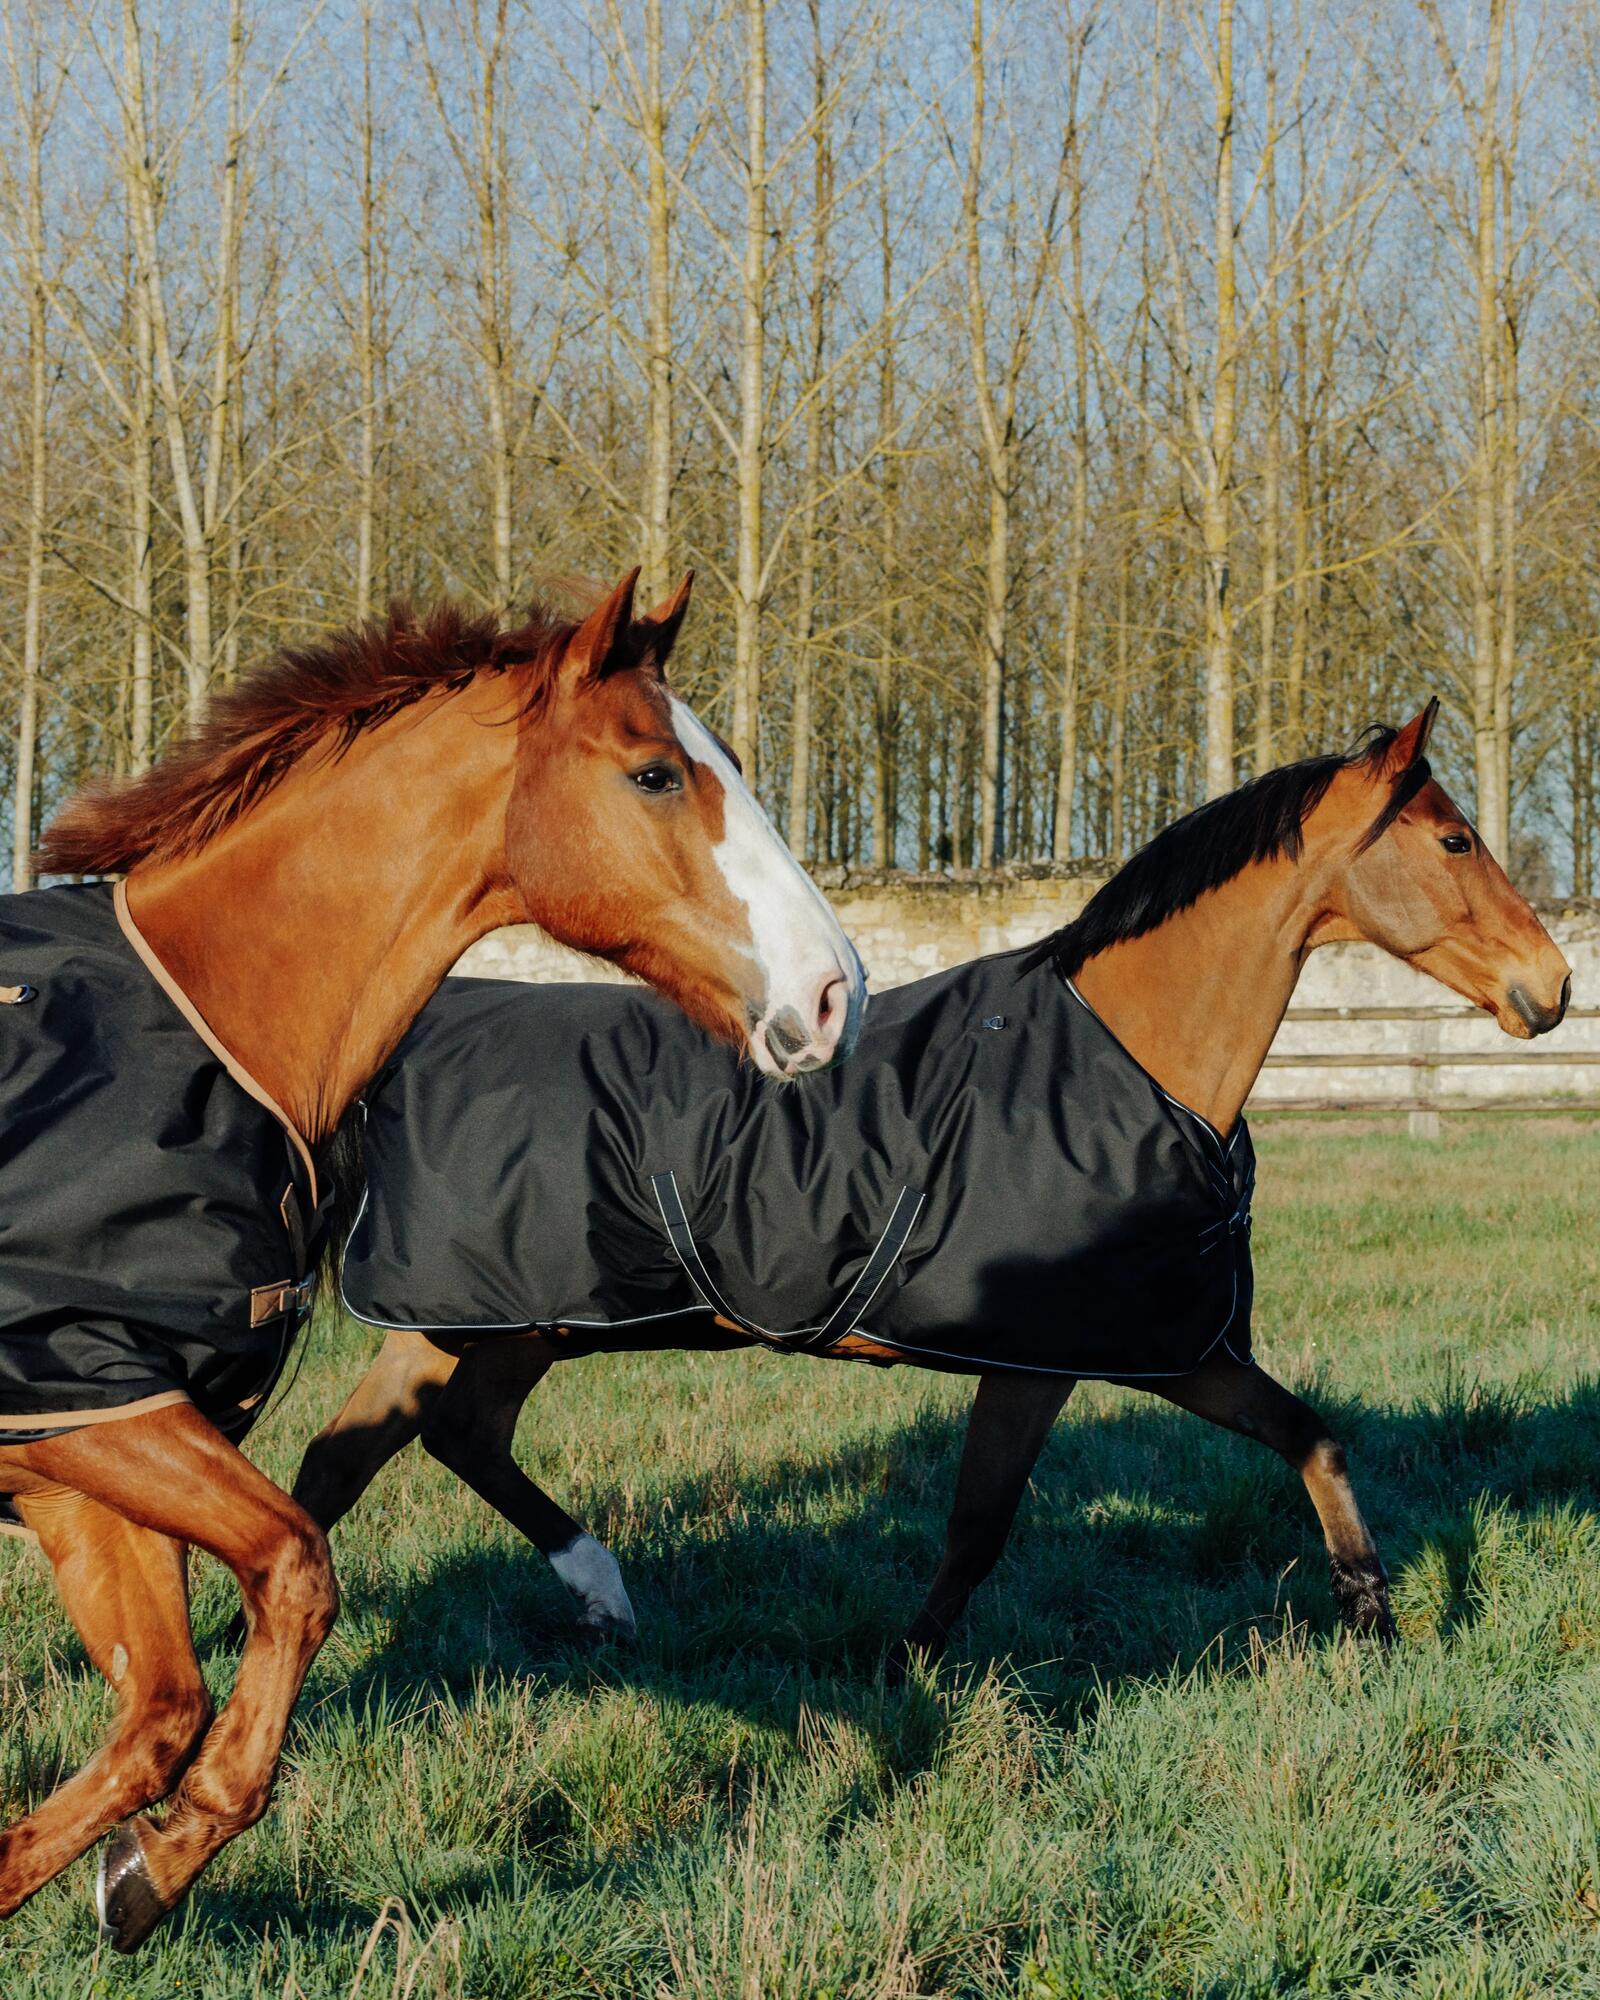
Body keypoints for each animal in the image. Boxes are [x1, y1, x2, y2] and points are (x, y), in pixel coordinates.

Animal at [0, 567, 865, 1952]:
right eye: (653, 774)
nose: (835, 994)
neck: (209, 1032)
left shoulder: (83, 1453)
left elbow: (166, 1709)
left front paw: (138, 1874)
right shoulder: (83, 1398)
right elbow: (296, 1570)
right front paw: (151, 1865)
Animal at [283, 702, 1571, 1673]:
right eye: (1455, 840)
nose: (1549, 985)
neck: (1135, 1060)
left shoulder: (1173, 1346)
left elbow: (1314, 1439)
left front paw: (1371, 1612)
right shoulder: (1036, 1357)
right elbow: (975, 1527)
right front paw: (903, 1672)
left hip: (510, 1325)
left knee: (434, 1443)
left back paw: (589, 1600)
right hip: (461, 1319)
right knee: (360, 1459)